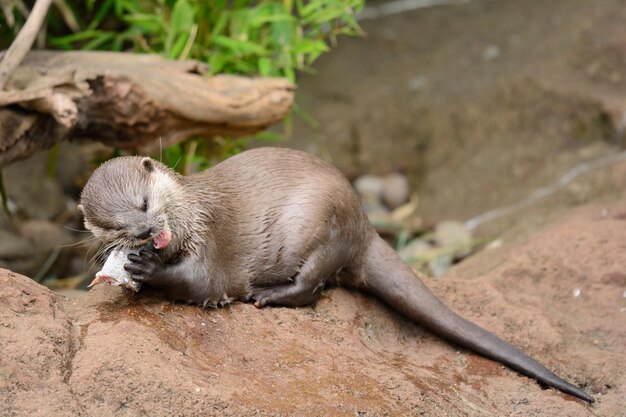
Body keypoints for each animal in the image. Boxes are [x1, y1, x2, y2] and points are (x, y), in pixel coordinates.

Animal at [80, 148, 592, 402]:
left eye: (145, 203)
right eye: (116, 225)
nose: (145, 231)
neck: (191, 213)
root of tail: (363, 222)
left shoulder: (210, 242)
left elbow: (206, 284)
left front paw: (148, 269)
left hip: (322, 226)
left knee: (312, 287)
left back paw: (268, 294)